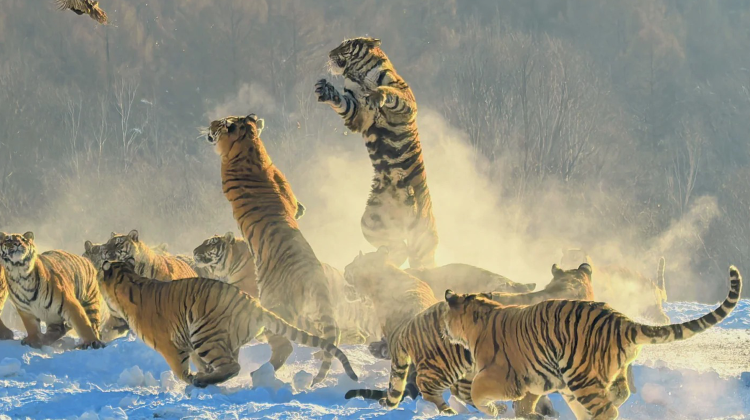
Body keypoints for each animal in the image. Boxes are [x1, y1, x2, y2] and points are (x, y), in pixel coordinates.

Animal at [98, 259, 358, 387]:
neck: (128, 280)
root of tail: (252, 303)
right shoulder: (188, 343)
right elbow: (198, 362)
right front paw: (201, 373)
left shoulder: (171, 345)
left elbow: (181, 370)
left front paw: (191, 379)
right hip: (222, 339)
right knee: (231, 365)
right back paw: (209, 377)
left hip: (204, 333)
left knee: (233, 366)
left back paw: (203, 381)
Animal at [206, 113, 342, 384]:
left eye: (221, 123)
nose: (210, 124)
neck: (250, 146)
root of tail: (312, 272)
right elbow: (295, 203)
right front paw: (301, 210)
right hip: (314, 310)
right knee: (332, 333)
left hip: (272, 307)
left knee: (284, 347)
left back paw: (259, 373)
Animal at [316, 37, 438, 269]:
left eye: (345, 45)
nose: (328, 53)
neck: (358, 75)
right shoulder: (358, 112)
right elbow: (343, 103)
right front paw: (324, 90)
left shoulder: (403, 96)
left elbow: (389, 92)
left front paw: (376, 95)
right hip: (371, 220)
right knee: (399, 248)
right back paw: (379, 258)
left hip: (423, 242)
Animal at [441, 265, 742, 420]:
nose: (443, 331)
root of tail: (623, 321)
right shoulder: (542, 380)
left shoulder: (509, 376)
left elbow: (481, 393)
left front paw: (497, 408)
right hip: (593, 376)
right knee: (617, 396)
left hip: (582, 378)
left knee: (608, 411)